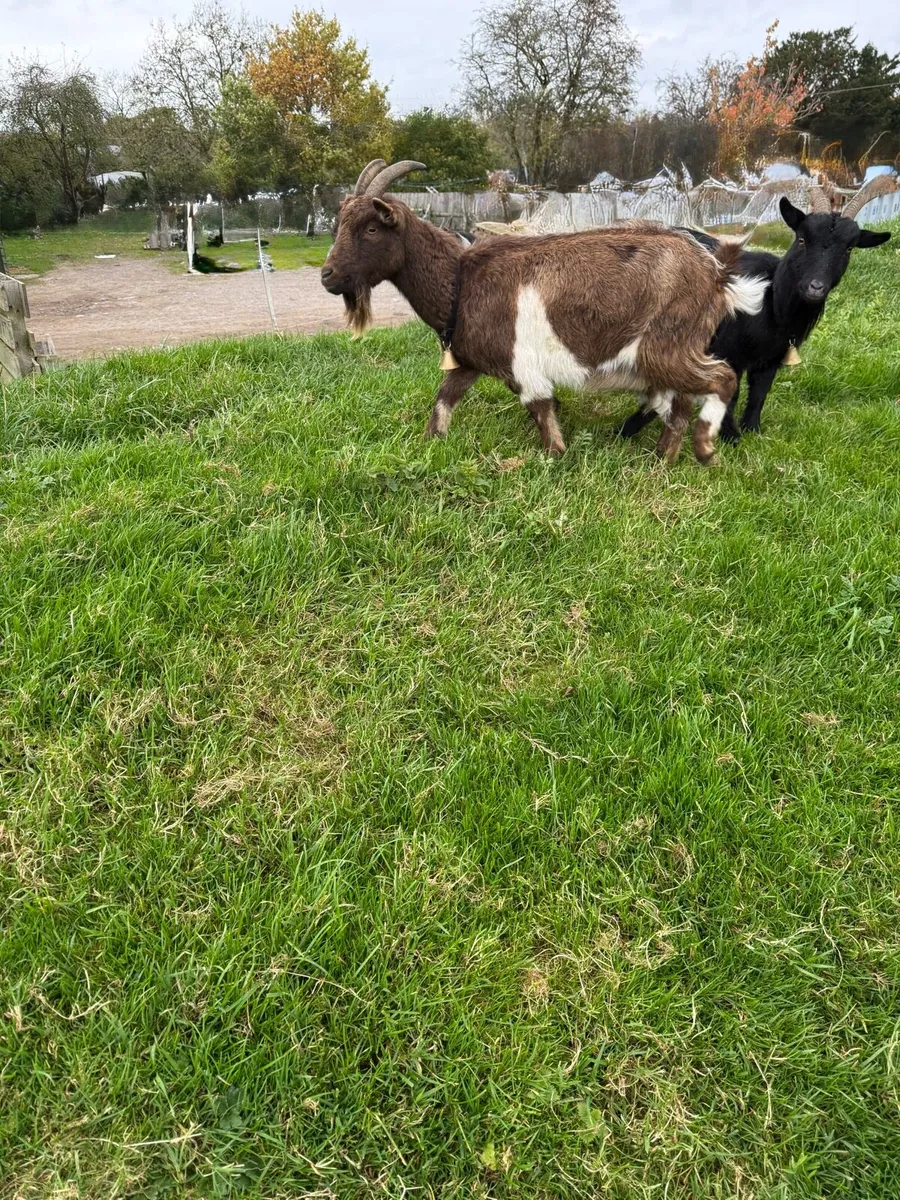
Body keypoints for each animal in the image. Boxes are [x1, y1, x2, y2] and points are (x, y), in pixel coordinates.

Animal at [321, 160, 767, 462]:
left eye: (372, 228)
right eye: (339, 225)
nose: (327, 276)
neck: (462, 280)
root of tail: (715, 273)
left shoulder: (522, 365)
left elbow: (541, 412)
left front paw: (555, 456)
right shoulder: (472, 360)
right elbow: (443, 401)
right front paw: (431, 443)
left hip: (665, 347)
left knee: (721, 380)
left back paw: (703, 448)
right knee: (679, 405)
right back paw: (662, 460)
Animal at [619, 177, 893, 445]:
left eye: (849, 248)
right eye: (802, 239)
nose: (815, 287)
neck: (771, 304)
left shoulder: (772, 357)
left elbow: (760, 392)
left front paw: (752, 430)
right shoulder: (727, 352)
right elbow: (731, 393)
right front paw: (731, 437)